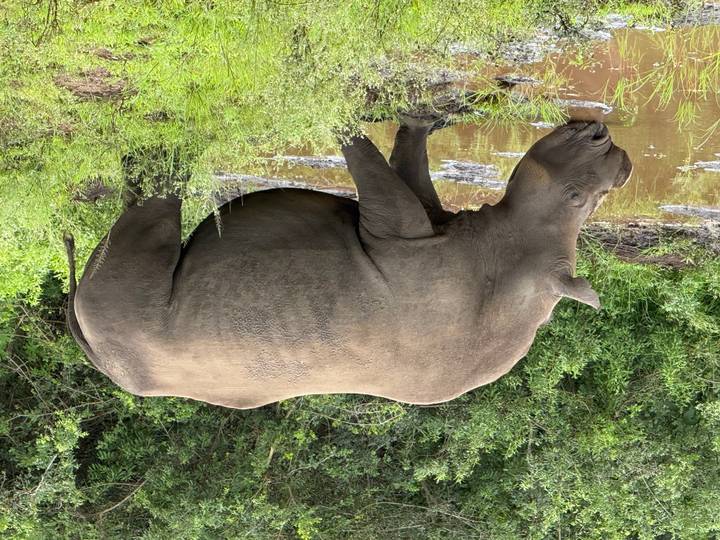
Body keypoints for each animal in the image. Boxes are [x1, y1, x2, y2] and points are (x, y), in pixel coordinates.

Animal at [65, 119, 632, 409]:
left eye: (577, 198)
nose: (614, 150)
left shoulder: (395, 238)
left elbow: (377, 174)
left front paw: (346, 118)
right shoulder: (421, 224)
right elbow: (408, 167)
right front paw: (423, 115)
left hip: (131, 322)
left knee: (150, 237)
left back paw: (162, 159)